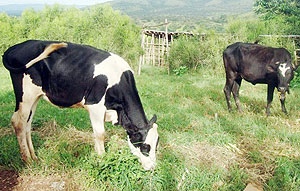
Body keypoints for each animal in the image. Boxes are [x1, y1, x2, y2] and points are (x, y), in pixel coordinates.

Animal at [2, 39, 159, 170]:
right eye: (145, 147)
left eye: (156, 145)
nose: (152, 167)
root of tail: (16, 46)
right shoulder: (95, 106)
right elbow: (100, 134)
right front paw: (102, 160)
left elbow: (96, 134)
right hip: (25, 94)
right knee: (18, 122)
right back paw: (27, 160)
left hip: (35, 96)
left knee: (27, 123)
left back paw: (34, 157)